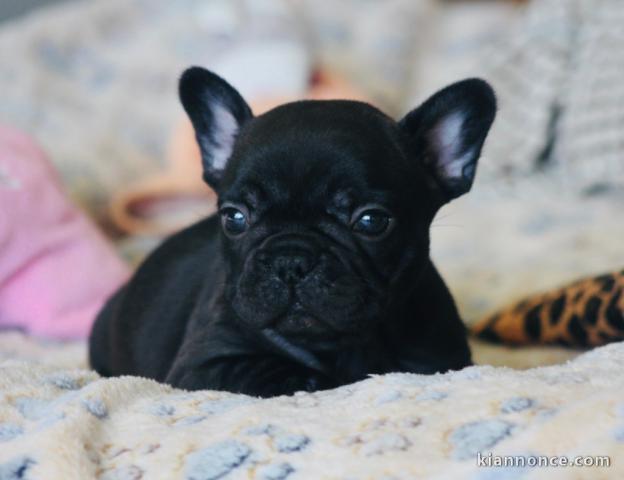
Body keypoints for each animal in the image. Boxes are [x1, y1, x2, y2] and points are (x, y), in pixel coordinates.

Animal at [89, 67, 498, 398]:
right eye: (234, 218)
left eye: (371, 221)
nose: (290, 260)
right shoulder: (201, 365)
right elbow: (268, 369)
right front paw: (313, 377)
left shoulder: (441, 357)